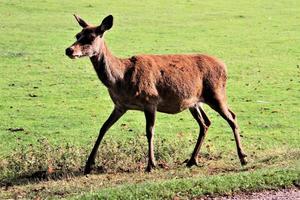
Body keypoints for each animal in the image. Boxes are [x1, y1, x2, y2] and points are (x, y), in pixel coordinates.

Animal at [65, 14, 246, 174]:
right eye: (77, 35)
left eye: (91, 37)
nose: (69, 50)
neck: (120, 79)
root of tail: (224, 66)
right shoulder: (120, 105)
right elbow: (103, 128)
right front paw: (88, 165)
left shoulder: (150, 100)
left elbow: (149, 131)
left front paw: (151, 165)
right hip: (194, 102)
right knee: (205, 123)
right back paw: (191, 160)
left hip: (216, 93)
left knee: (232, 117)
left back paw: (243, 158)